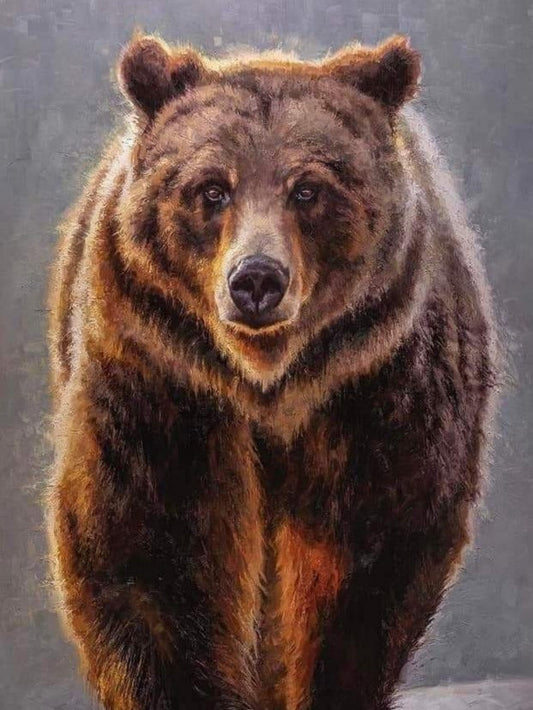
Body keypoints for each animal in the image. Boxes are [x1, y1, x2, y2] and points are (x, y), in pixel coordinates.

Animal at [46, 31, 498, 710]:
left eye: (308, 189)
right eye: (212, 188)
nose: (257, 279)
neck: (267, 382)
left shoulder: (382, 383)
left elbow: (367, 563)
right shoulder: (157, 376)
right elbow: (141, 547)